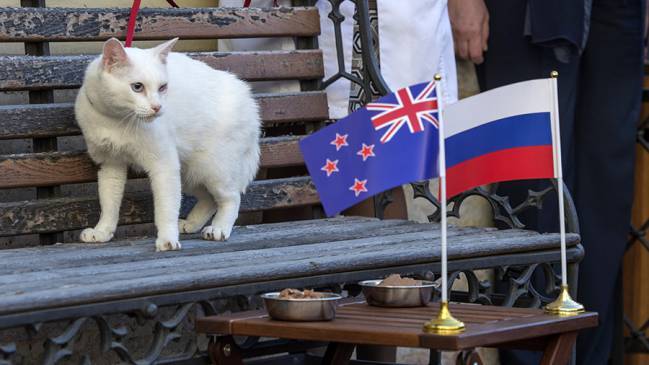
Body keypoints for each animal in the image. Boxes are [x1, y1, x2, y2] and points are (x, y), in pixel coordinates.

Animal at [74, 38, 260, 252]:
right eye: (137, 87)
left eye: (162, 87)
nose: (157, 107)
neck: (117, 120)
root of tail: (249, 101)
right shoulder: (110, 165)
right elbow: (109, 202)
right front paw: (102, 231)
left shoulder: (163, 165)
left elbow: (166, 208)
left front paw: (167, 239)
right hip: (189, 173)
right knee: (209, 200)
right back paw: (190, 224)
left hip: (214, 170)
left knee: (231, 198)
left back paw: (219, 229)